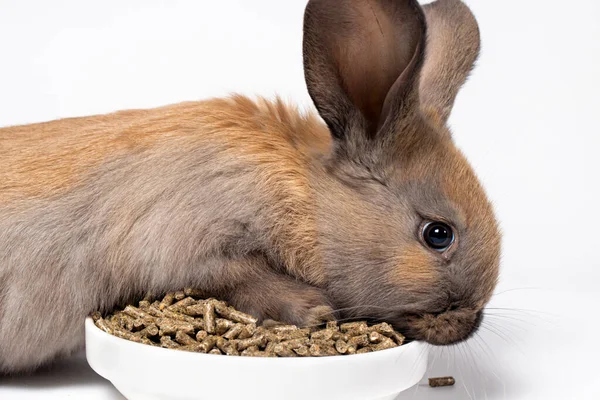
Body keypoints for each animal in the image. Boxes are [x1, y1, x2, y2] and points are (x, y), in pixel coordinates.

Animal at [0, 0, 500, 376]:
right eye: (438, 234)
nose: (469, 324)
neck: (305, 198)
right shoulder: (196, 246)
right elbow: (241, 278)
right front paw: (316, 311)